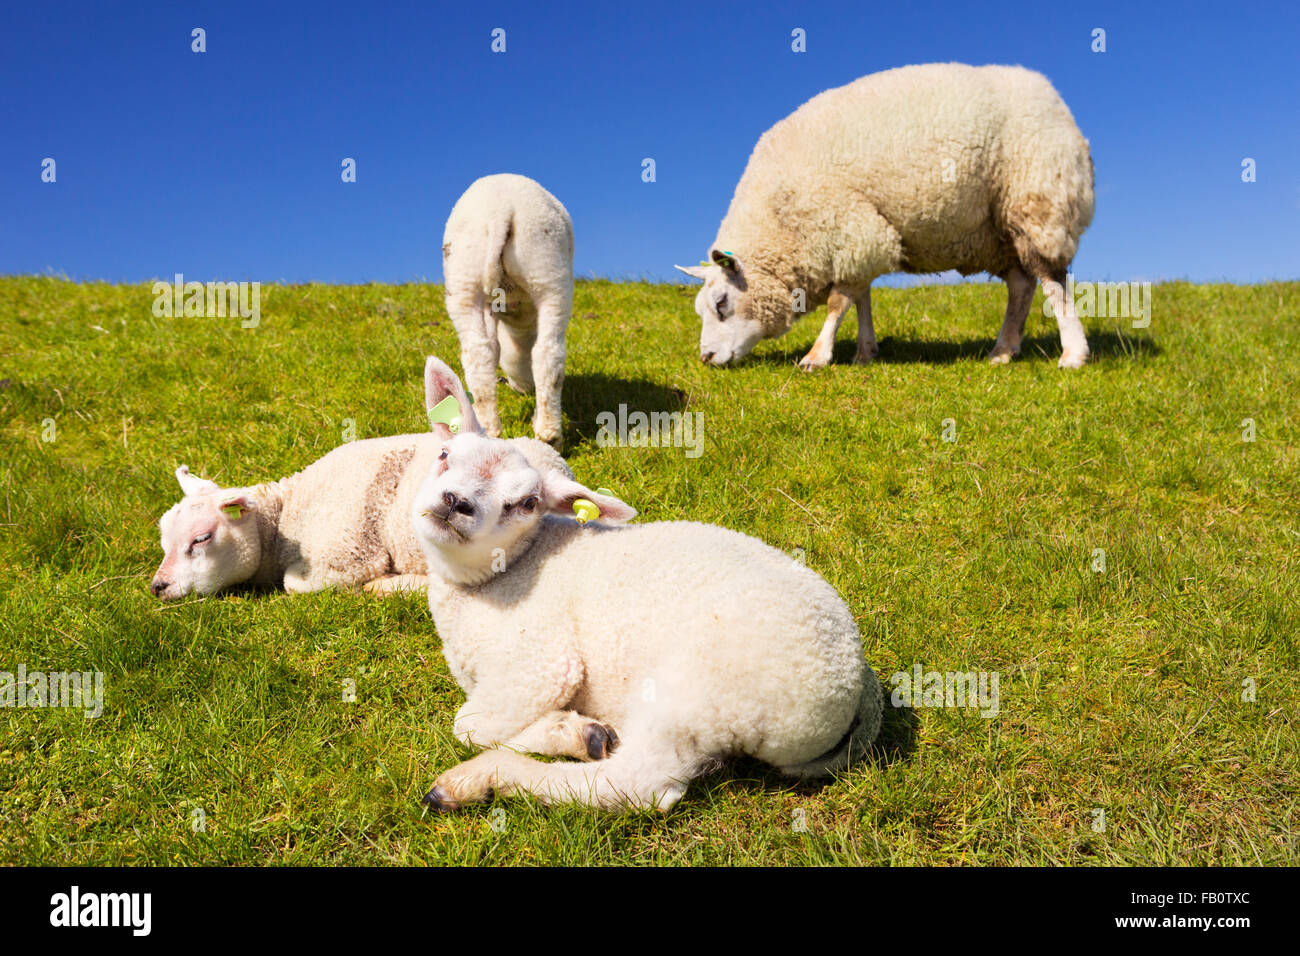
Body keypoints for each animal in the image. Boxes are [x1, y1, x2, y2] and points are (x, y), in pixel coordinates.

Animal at [149, 424, 572, 600]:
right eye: (164, 539)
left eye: (201, 538)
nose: (158, 587)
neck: (288, 515)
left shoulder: (348, 558)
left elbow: (295, 586)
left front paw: (377, 586)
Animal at [413, 356, 883, 811]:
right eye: (444, 454)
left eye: (528, 503)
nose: (456, 503)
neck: (500, 577)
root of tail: (857, 686)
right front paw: (575, 731)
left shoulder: (539, 666)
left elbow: (469, 724)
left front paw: (564, 732)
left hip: (698, 691)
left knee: (639, 784)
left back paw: (477, 781)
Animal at [441, 174, 574, 450]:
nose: (522, 389)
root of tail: (499, 211)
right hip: (546, 276)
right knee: (545, 355)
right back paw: (546, 434)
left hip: (468, 279)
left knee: (483, 356)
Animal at [676, 62, 1092, 369]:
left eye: (721, 304)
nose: (706, 357)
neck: (779, 219)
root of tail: (1052, 96)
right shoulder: (858, 238)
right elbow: (861, 297)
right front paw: (865, 352)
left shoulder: (849, 228)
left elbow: (839, 302)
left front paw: (817, 356)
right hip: (996, 229)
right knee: (1021, 285)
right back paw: (1003, 350)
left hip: (1038, 196)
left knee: (1052, 278)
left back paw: (1073, 354)